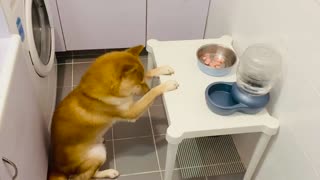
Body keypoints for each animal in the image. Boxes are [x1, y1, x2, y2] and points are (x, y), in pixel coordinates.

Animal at [48, 45, 178, 180]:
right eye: (138, 83)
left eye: (142, 80)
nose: (147, 88)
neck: (91, 94)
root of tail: (57, 168)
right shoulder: (132, 112)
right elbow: (151, 94)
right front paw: (166, 85)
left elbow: (149, 72)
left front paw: (163, 69)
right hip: (98, 153)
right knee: (85, 176)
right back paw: (109, 172)